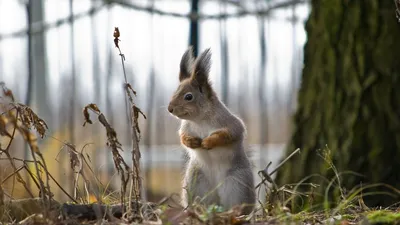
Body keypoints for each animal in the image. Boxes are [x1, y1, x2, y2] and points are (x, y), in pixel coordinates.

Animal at [166, 47, 255, 214]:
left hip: (237, 184)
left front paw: (208, 142)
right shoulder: (185, 127)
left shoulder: (231, 124)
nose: (170, 109)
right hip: (195, 183)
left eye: (189, 96)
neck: (200, 119)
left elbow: (228, 134)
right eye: (174, 92)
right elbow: (182, 137)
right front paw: (192, 141)